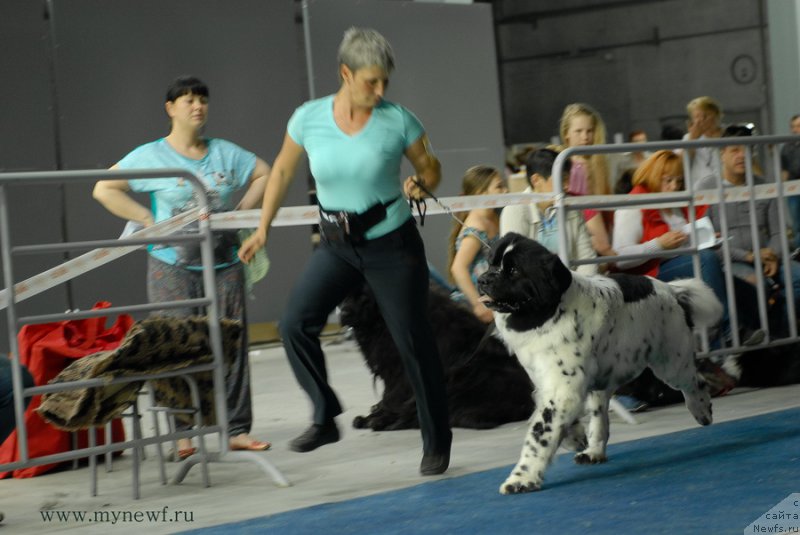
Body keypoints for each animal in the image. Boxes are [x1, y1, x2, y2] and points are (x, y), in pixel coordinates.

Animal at [340, 284, 536, 432]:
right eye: (344, 295)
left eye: (363, 296)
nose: (343, 314)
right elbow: (389, 397)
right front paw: (373, 414)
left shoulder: (401, 375)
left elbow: (393, 398)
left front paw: (375, 417)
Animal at [476, 233, 724, 494]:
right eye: (491, 263)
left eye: (513, 270)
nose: (482, 279)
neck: (549, 312)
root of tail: (671, 290)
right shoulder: (550, 383)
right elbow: (547, 415)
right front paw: (574, 438)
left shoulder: (564, 388)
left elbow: (539, 433)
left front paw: (522, 478)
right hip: (606, 378)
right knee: (600, 417)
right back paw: (593, 452)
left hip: (670, 362)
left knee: (696, 381)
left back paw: (702, 412)